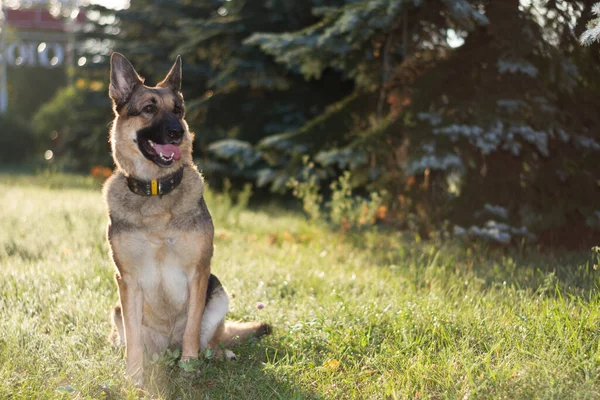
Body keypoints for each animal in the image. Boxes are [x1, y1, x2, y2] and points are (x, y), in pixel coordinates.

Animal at [104, 53, 270, 384]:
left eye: (178, 110)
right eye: (149, 109)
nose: (177, 133)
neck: (156, 192)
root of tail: (167, 348)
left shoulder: (199, 272)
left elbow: (193, 329)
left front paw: (189, 368)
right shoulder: (126, 280)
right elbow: (133, 341)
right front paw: (135, 378)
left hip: (217, 292)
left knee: (213, 338)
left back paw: (217, 354)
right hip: (117, 309)